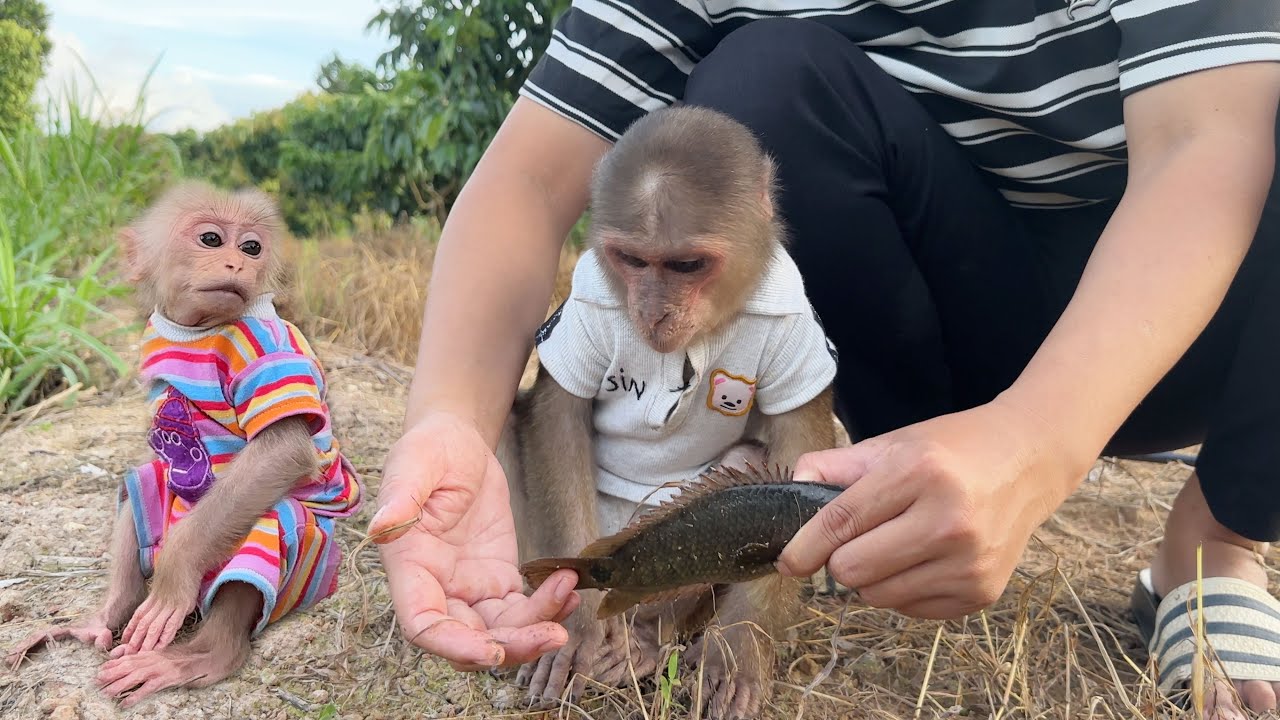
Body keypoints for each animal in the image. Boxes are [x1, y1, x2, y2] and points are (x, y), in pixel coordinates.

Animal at [4, 181, 362, 708]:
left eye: (251, 247)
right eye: (211, 239)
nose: (236, 263)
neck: (197, 329)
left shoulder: (267, 344)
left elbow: (281, 451)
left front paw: (172, 580)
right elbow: (154, 460)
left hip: (309, 563)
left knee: (272, 517)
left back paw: (197, 656)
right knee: (142, 481)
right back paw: (103, 618)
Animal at [497, 105, 839, 720]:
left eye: (686, 265)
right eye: (633, 260)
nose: (652, 311)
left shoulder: (798, 329)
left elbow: (798, 442)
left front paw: (737, 650)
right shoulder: (586, 304)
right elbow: (558, 417)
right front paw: (576, 626)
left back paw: (643, 645)